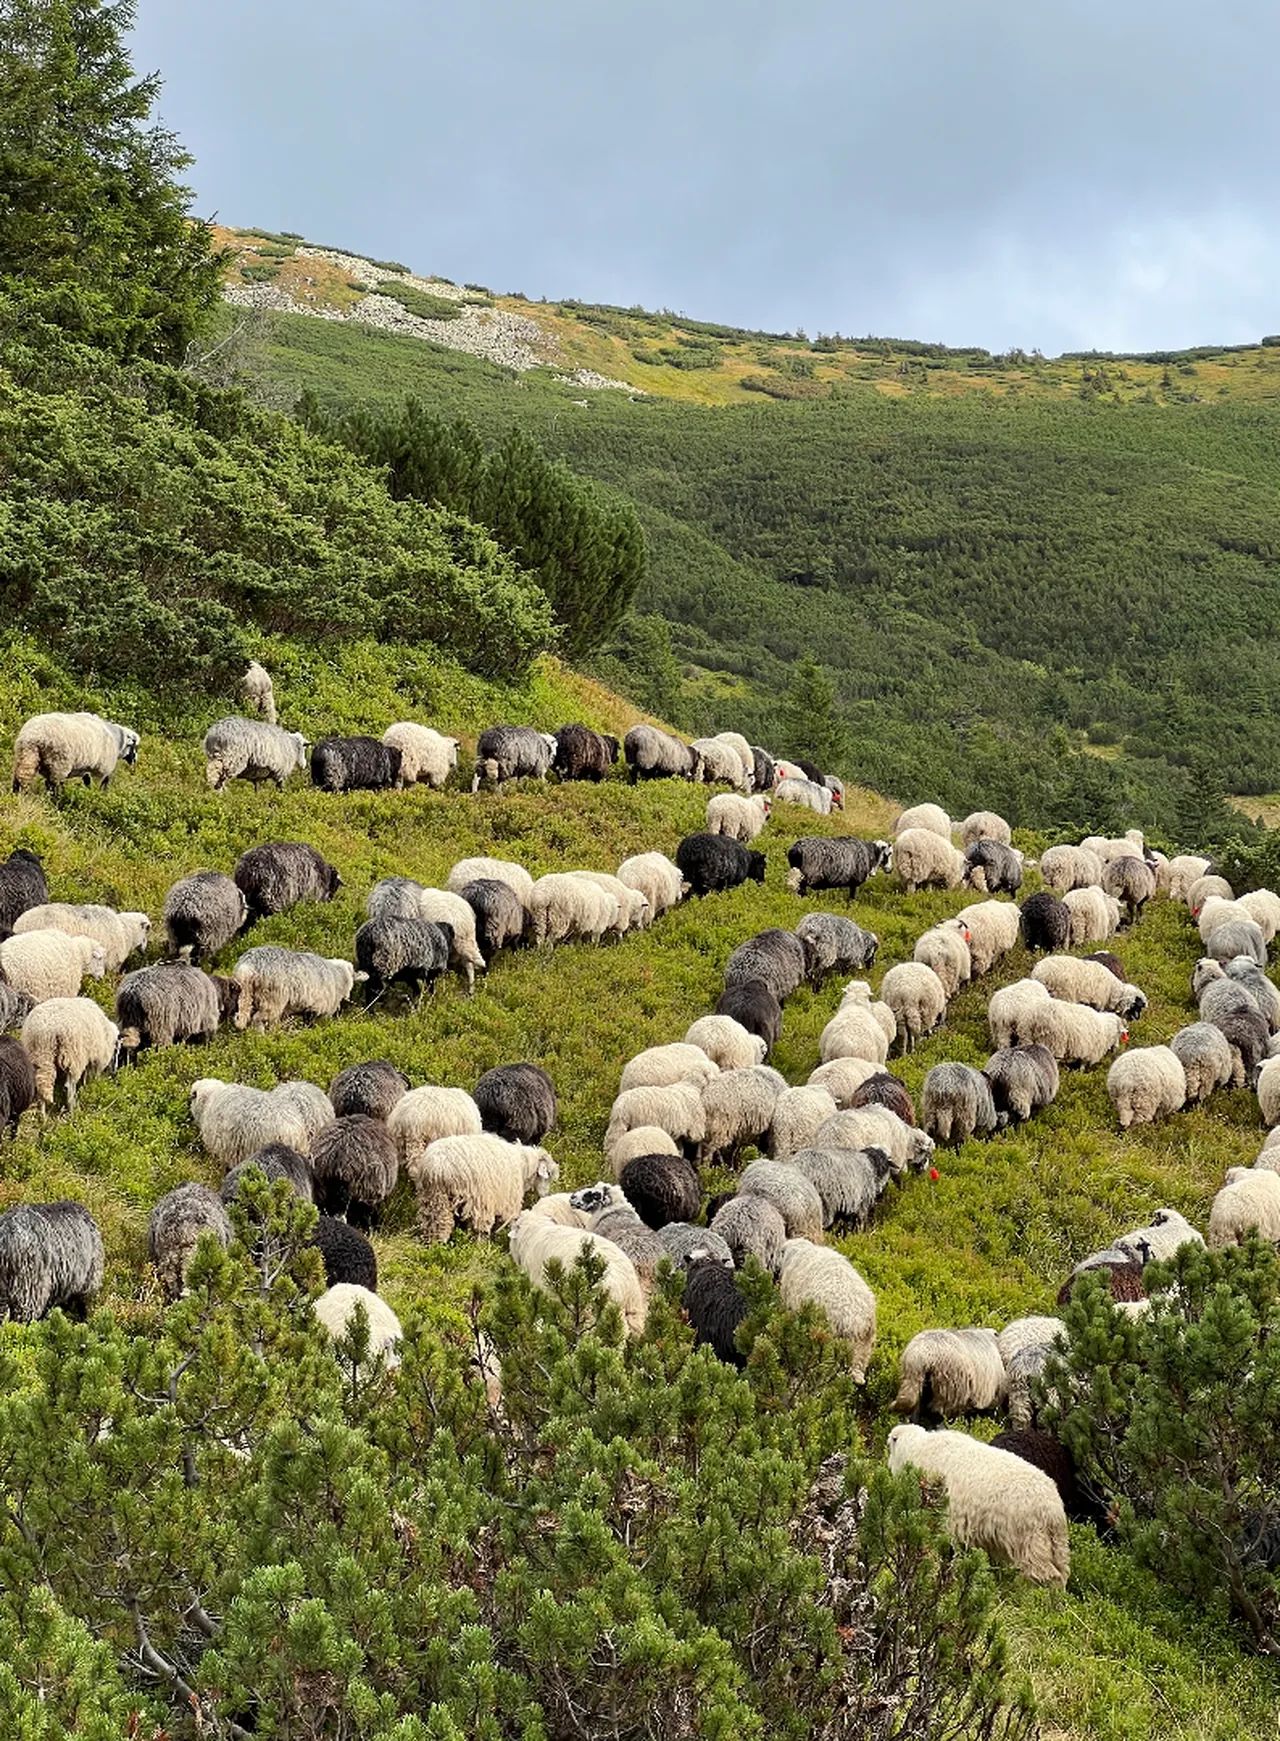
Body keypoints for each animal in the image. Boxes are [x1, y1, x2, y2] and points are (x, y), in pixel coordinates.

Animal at [412, 1135, 558, 1244]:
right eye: (548, 1175)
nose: (546, 1195)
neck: (523, 1166)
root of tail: (436, 1167)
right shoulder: (510, 1202)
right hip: (480, 1201)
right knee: (478, 1227)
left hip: (434, 1197)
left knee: (436, 1223)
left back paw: (436, 1244)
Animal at [887, 1424, 1070, 1587]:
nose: (887, 1467)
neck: (918, 1449)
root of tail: (1053, 1509)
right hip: (1056, 1545)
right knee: (1062, 1574)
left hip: (1029, 1541)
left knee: (1046, 1576)